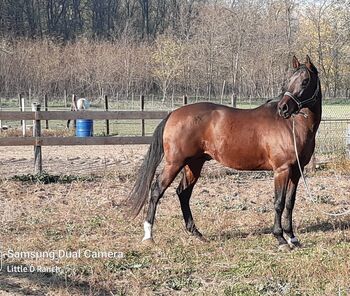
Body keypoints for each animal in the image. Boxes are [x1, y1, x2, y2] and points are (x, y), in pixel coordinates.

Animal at [127, 55, 322, 250]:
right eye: (289, 80)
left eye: (305, 81)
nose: (283, 109)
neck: (291, 126)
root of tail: (173, 114)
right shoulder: (282, 170)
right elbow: (279, 203)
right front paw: (280, 238)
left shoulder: (296, 171)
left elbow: (290, 203)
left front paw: (292, 238)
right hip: (174, 163)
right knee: (156, 190)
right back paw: (148, 235)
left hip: (193, 164)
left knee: (183, 193)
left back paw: (196, 233)